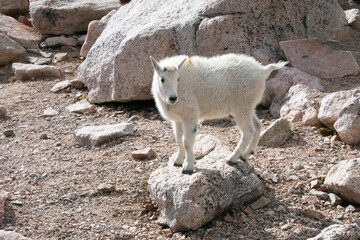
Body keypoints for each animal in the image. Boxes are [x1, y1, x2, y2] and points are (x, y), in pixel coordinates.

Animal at [149, 53, 286, 174]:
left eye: (178, 79)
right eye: (162, 79)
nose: (173, 98)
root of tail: (262, 70)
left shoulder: (190, 115)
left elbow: (187, 142)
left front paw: (188, 167)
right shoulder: (178, 119)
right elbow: (178, 140)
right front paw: (178, 161)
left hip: (242, 106)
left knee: (248, 131)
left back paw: (232, 158)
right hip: (248, 106)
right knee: (257, 125)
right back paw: (247, 154)